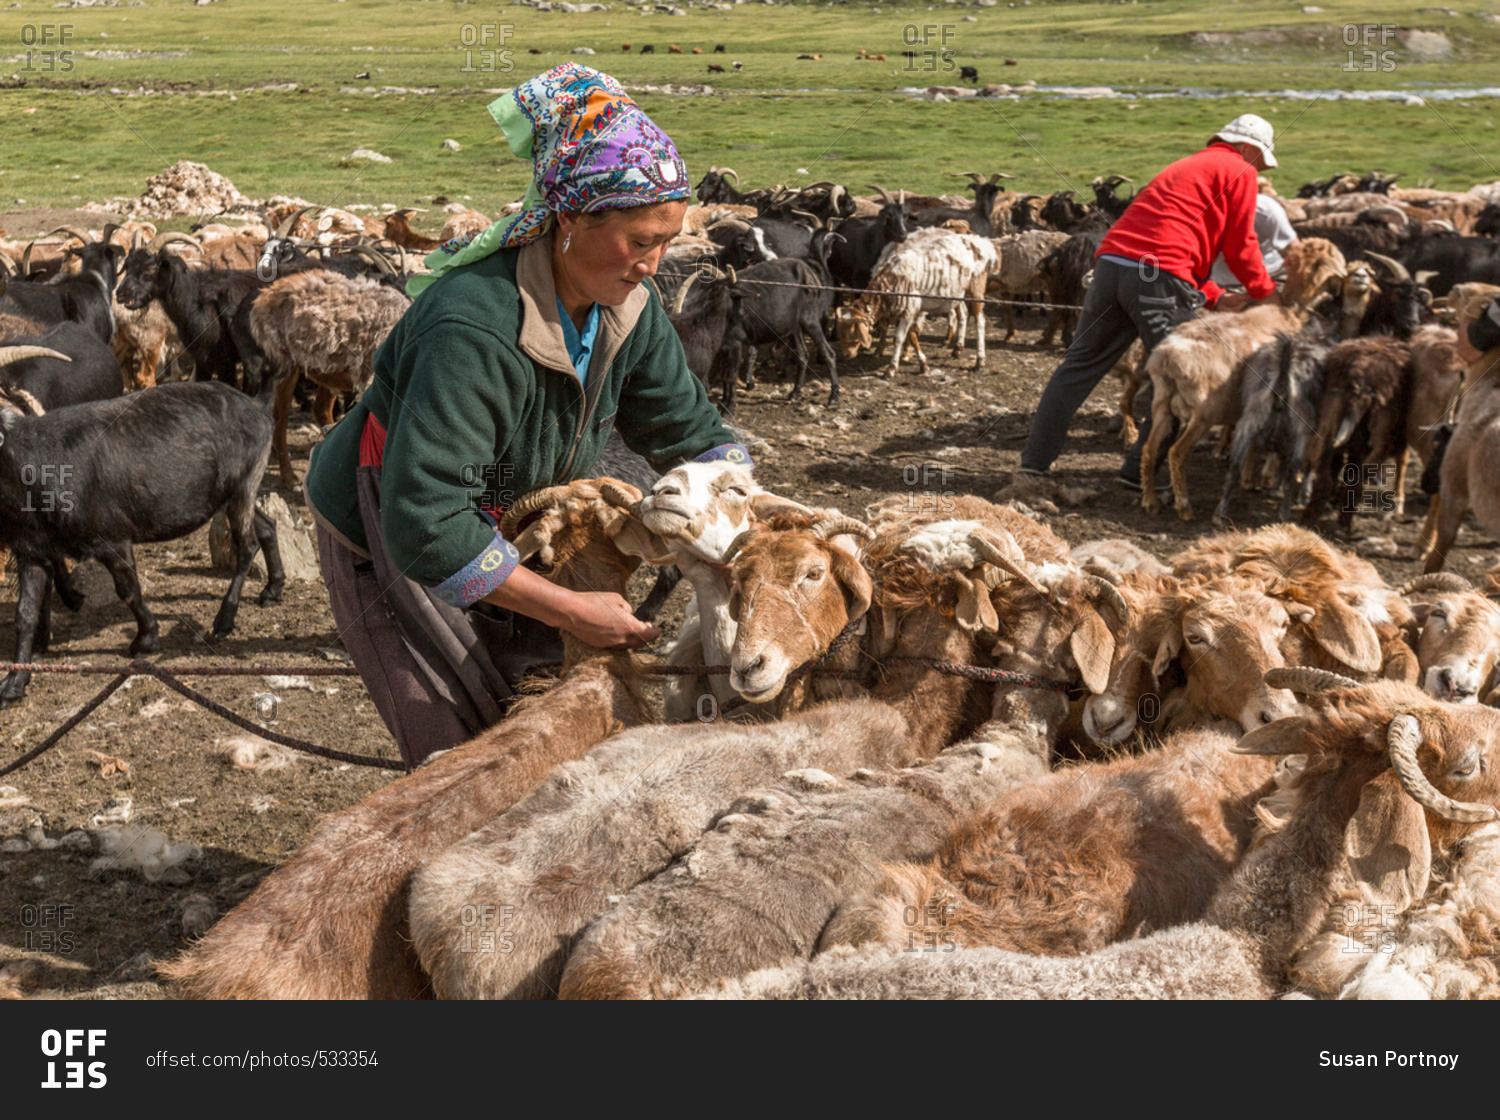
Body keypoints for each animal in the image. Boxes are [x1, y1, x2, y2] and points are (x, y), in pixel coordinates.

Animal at [0, 380, 283, 704]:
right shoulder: (33, 552)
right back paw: (273, 589)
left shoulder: (113, 538)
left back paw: (224, 619)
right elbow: (25, 614)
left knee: (248, 545)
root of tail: (258, 405)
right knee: (267, 527)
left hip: (243, 486)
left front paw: (146, 638)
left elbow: (129, 591)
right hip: (230, 496)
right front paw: (15, 681)